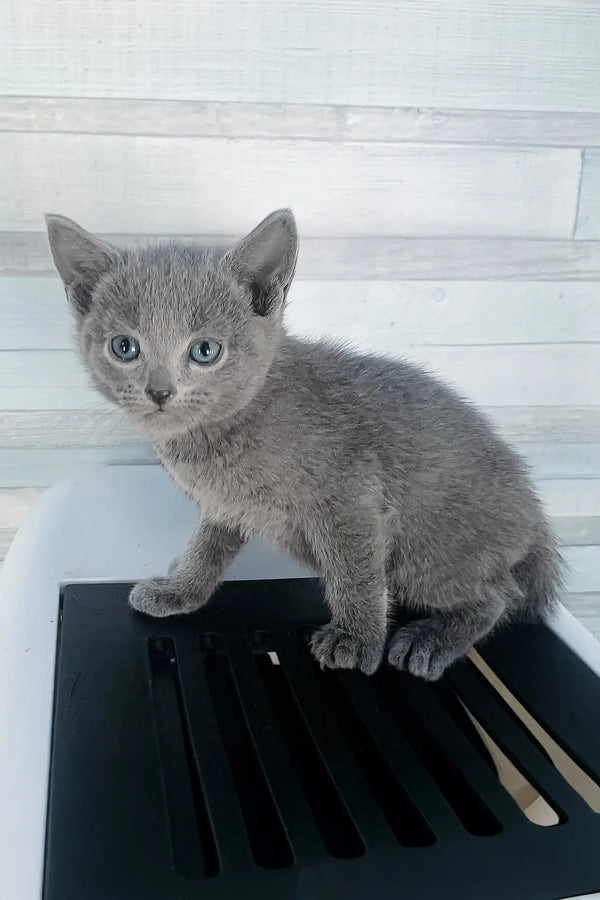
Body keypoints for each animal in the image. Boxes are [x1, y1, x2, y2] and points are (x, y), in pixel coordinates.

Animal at [45, 209, 564, 676]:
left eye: (205, 351)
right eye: (124, 347)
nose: (159, 391)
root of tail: (536, 517)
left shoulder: (350, 496)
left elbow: (356, 570)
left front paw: (357, 639)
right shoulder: (226, 505)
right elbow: (205, 549)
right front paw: (180, 590)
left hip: (428, 557)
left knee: (502, 596)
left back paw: (433, 640)